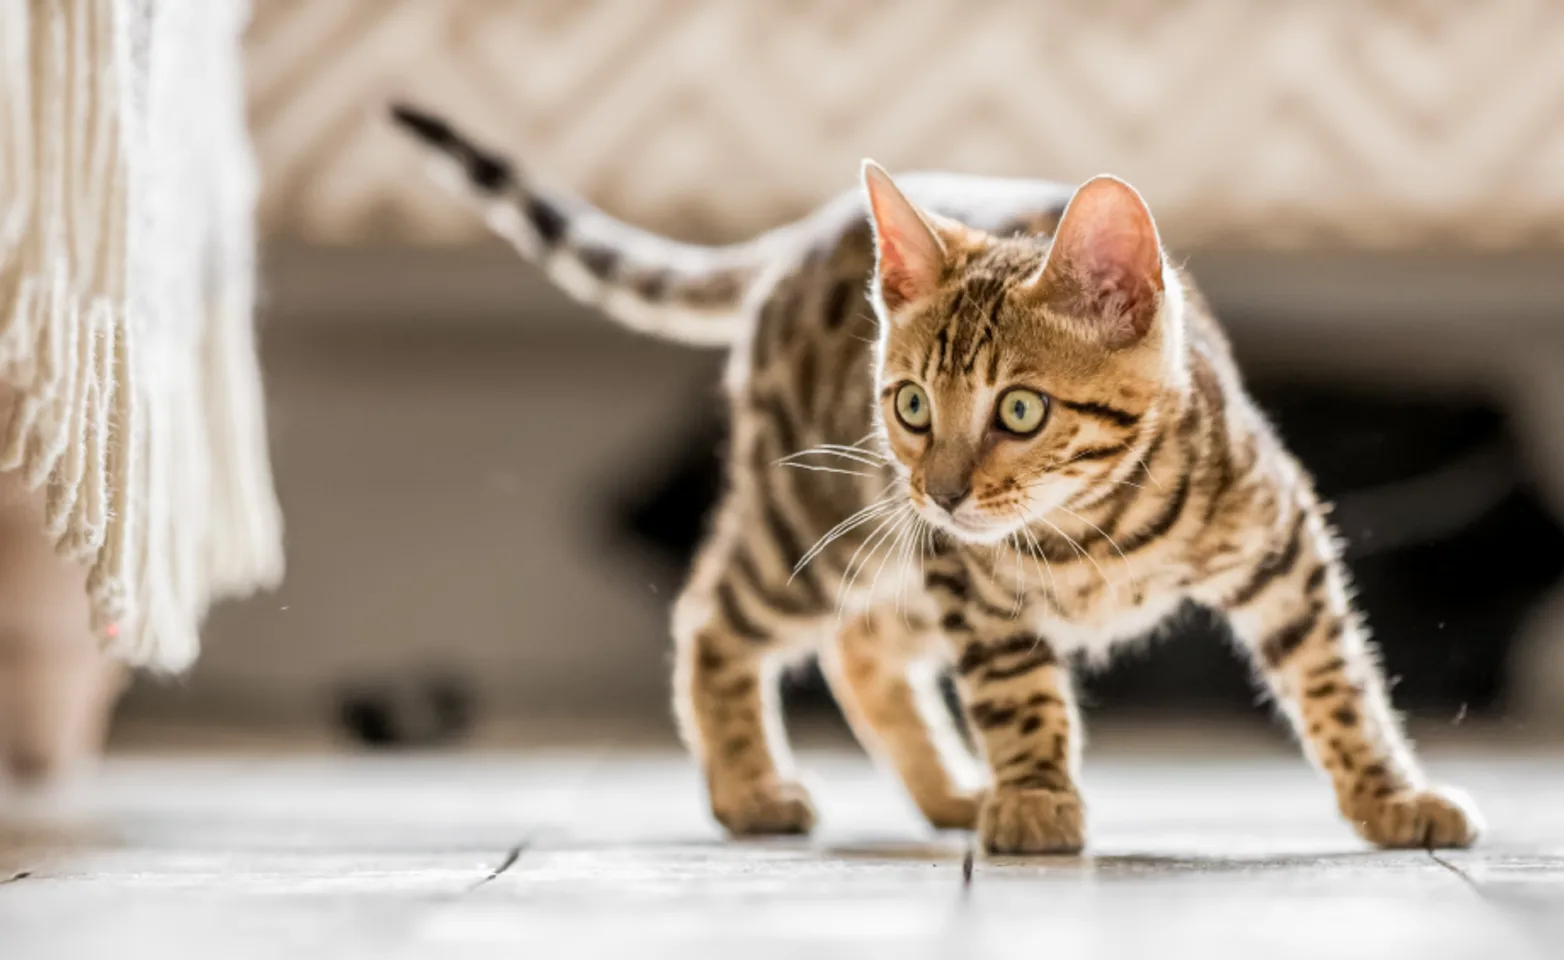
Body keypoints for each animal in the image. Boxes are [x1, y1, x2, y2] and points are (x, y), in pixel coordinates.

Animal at [387, 105, 1476, 856]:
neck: (1098, 526)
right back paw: (751, 788)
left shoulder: (1282, 542)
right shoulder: (974, 584)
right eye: (911, 404)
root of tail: (801, 239)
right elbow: (1016, 689)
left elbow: (1337, 677)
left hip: (896, 550)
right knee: (714, 617)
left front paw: (1387, 795)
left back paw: (949, 789)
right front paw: (1034, 794)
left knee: (860, 647)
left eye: (1020, 411)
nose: (945, 488)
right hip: (825, 521)